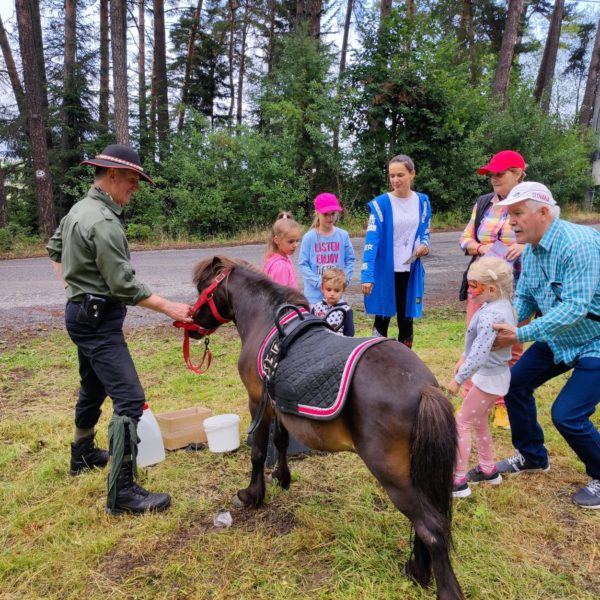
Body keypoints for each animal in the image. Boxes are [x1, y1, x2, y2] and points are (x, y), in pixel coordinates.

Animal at [192, 255, 464, 596]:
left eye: (202, 287)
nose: (190, 323)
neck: (265, 320)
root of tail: (423, 388)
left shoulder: (258, 403)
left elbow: (257, 452)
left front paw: (252, 495)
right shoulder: (281, 406)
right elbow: (280, 442)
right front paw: (282, 478)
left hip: (393, 475)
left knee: (431, 528)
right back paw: (416, 570)